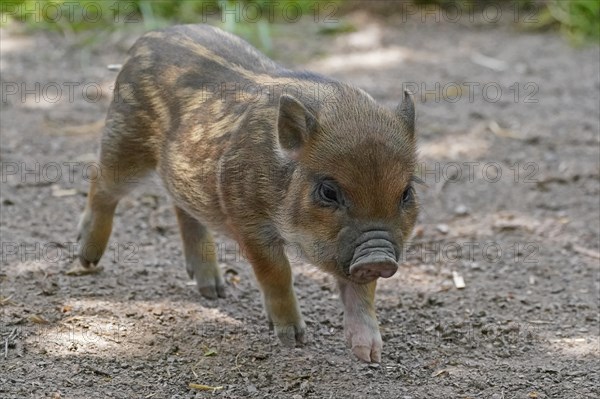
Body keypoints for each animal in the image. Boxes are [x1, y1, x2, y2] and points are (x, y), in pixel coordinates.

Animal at [76, 23, 418, 364]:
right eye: (329, 191)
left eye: (406, 193)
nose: (378, 256)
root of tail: (145, 39)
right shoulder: (248, 220)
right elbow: (278, 272)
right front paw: (294, 340)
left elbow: (361, 290)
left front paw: (370, 355)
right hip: (124, 139)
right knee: (101, 184)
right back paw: (87, 259)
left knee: (184, 209)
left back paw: (215, 291)